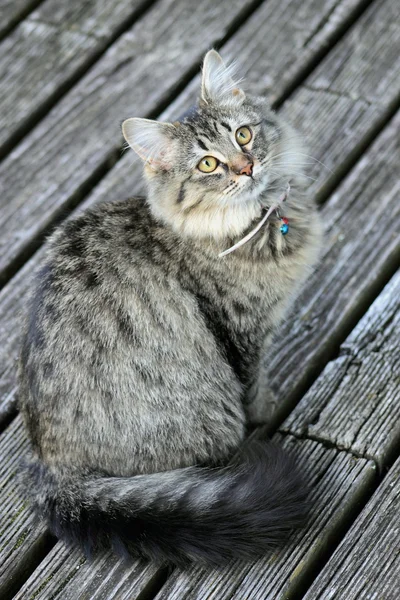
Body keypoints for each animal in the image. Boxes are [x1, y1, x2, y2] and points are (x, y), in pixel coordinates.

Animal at [18, 49, 322, 564]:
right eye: (208, 164)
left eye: (243, 135)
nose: (245, 167)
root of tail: (52, 466)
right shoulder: (241, 334)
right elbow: (255, 387)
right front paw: (269, 410)